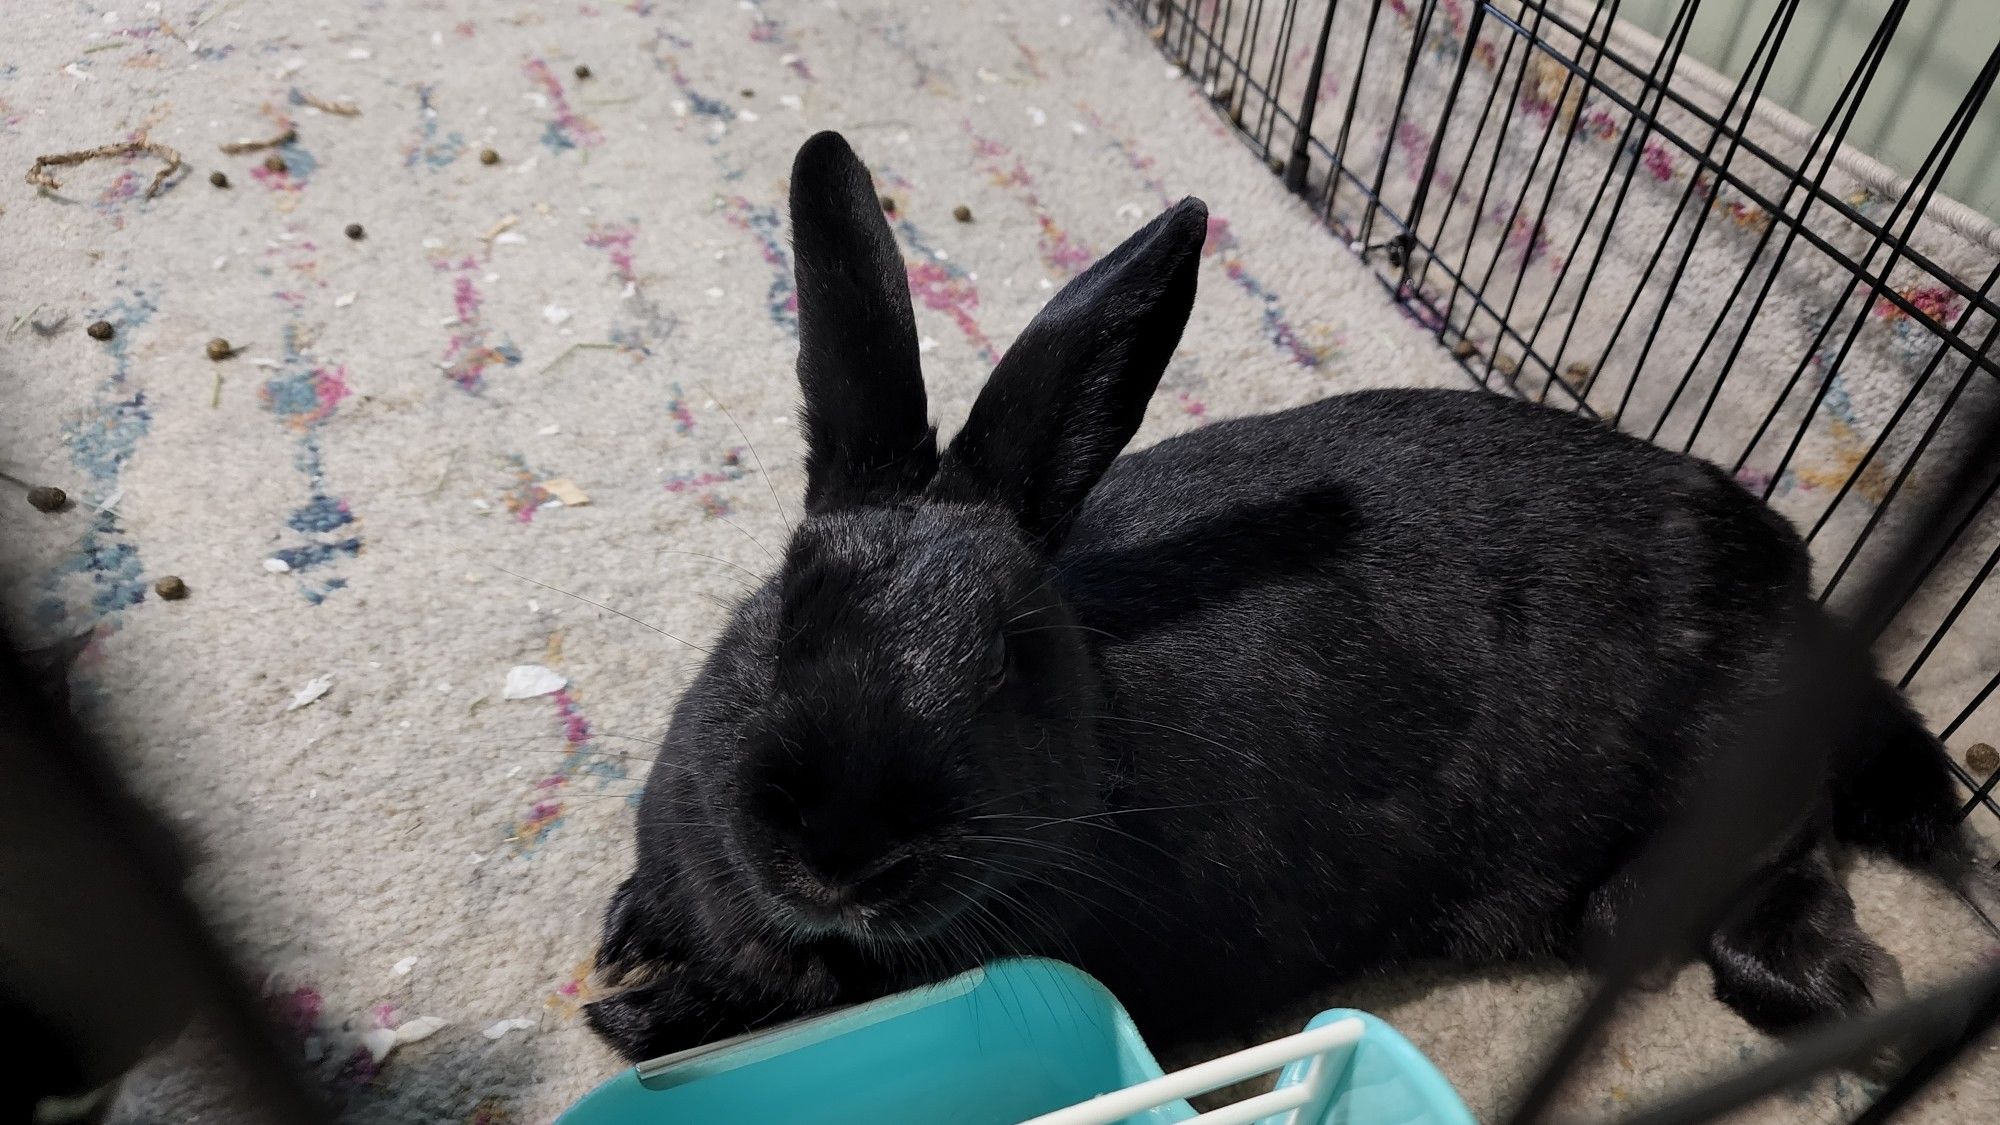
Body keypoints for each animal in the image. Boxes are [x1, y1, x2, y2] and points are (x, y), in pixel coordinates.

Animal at [584, 131, 1976, 1056]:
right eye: (784, 606)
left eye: (1010, 659)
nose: (838, 851)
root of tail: (1805, 593)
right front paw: (625, 938)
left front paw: (631, 1013)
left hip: (1706, 812)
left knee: (1778, 852)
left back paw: (1825, 987)